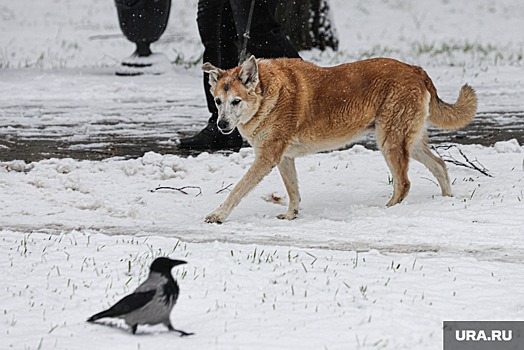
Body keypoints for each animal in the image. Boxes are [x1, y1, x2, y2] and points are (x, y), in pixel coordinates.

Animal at [202, 55, 478, 223]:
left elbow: (238, 189)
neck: (268, 94)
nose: (222, 125)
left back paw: (388, 210)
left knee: (404, 183)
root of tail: (417, 70)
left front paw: (218, 215)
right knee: (439, 165)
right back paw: (446, 200)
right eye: (217, 101)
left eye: (236, 101)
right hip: (409, 141)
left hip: (390, 141)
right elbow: (293, 192)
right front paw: (291, 216)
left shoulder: (268, 157)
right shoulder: (284, 158)